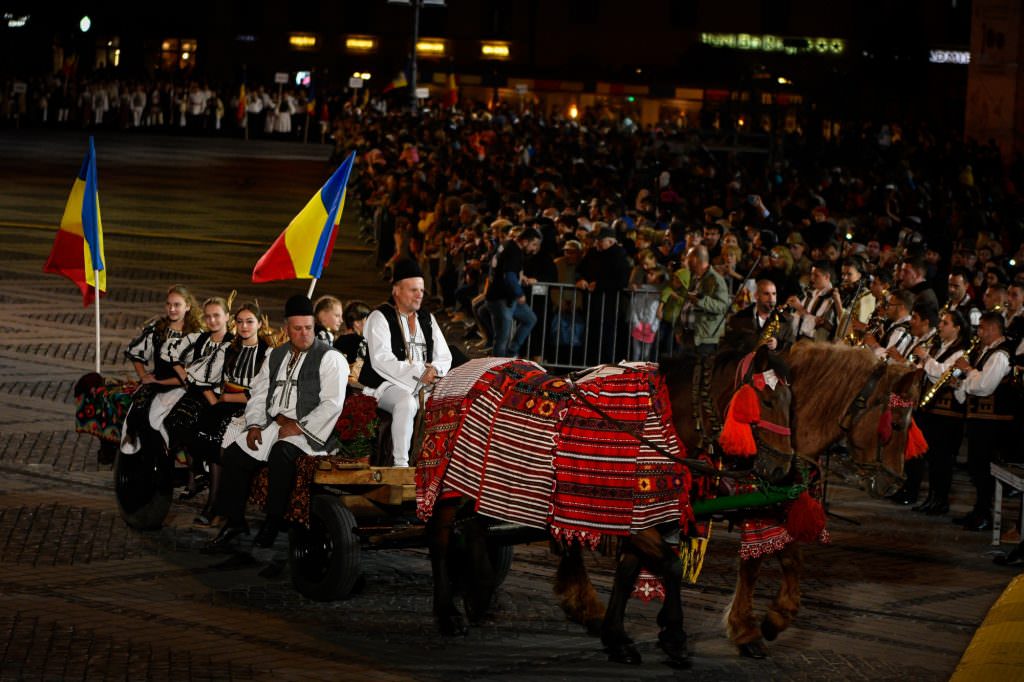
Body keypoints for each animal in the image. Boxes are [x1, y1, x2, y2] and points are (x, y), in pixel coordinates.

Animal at [415, 342, 790, 659]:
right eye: (766, 402)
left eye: (789, 400)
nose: (782, 468)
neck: (660, 417)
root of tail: (456, 372)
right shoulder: (635, 519)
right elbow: (669, 565)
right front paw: (673, 634)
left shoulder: (641, 517)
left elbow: (628, 573)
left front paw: (616, 636)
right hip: (448, 480)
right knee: (441, 536)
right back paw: (448, 613)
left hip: (490, 484)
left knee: (475, 527)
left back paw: (478, 592)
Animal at [720, 342, 929, 655]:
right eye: (895, 424)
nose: (895, 482)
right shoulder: (758, 508)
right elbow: (753, 564)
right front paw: (744, 629)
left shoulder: (781, 508)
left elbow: (792, 558)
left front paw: (777, 616)